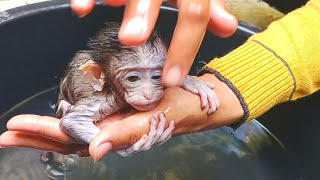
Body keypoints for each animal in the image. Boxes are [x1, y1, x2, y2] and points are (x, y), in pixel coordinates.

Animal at [56, 21, 219, 156]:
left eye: (157, 77)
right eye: (133, 79)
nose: (148, 94)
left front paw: (190, 82)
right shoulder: (106, 100)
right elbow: (72, 121)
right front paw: (128, 149)